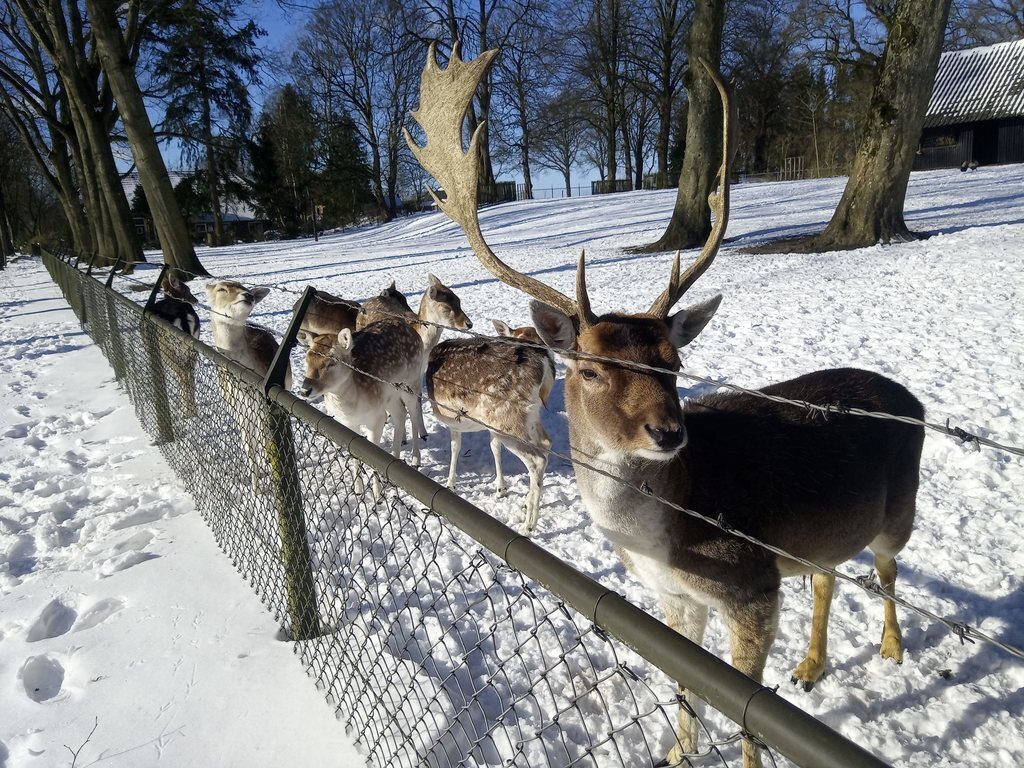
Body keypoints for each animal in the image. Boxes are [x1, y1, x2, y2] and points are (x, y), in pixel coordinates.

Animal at [425, 318, 555, 532]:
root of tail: (545, 362)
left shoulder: (453, 420)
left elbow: (455, 447)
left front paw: (450, 484)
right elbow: (493, 447)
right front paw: (500, 488)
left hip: (504, 417)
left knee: (537, 460)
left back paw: (528, 525)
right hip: (527, 414)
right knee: (546, 443)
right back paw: (528, 504)